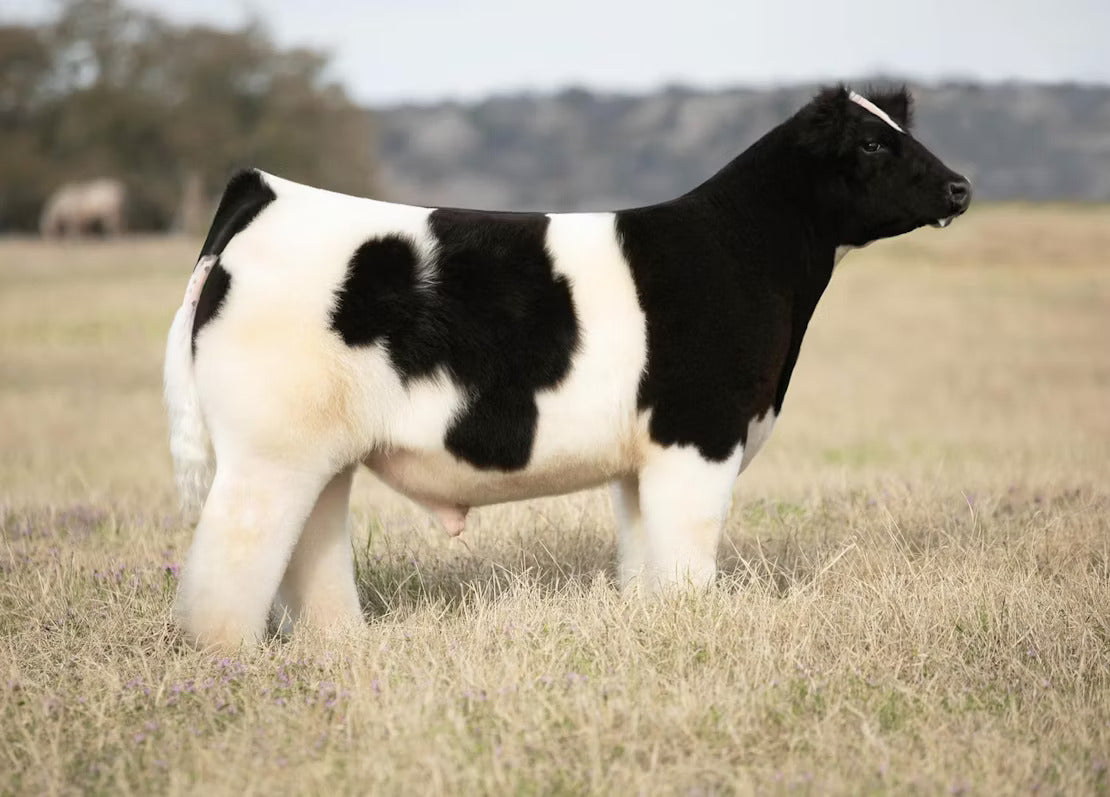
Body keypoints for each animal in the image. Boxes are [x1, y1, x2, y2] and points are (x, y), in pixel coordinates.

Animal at [164, 86, 970, 648]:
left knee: (310, 548)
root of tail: (264, 191)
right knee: (230, 559)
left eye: (904, 132)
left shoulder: (644, 460)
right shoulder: (698, 435)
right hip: (268, 453)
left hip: (319, 454)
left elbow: (647, 561)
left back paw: (340, 643)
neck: (741, 251)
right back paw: (227, 656)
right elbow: (688, 559)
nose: (960, 187)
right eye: (872, 145)